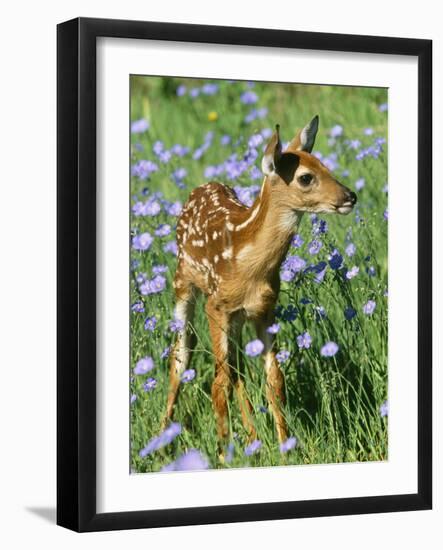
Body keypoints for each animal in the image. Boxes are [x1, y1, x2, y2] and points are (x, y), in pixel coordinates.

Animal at [165, 117, 360, 462]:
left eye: (324, 165)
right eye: (305, 177)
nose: (350, 196)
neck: (249, 265)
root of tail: (201, 187)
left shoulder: (265, 310)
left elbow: (274, 379)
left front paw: (285, 448)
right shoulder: (216, 306)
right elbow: (218, 384)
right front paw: (223, 456)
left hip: (238, 318)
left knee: (238, 367)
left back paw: (252, 438)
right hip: (183, 283)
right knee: (182, 354)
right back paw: (161, 442)